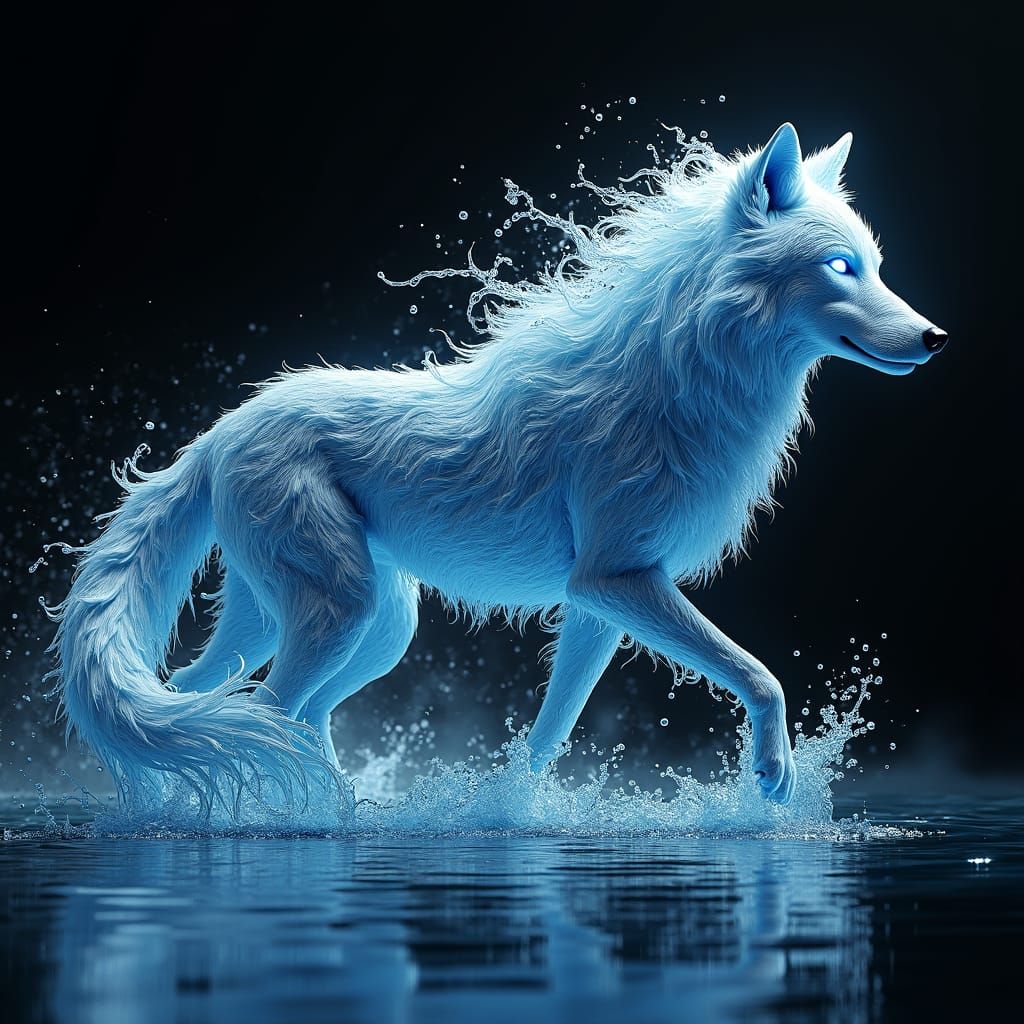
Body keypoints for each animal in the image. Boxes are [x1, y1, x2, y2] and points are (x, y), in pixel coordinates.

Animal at [49, 123, 947, 811]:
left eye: (875, 265)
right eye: (840, 267)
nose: (935, 337)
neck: (678, 378)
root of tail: (223, 428)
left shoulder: (600, 601)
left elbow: (549, 736)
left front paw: (509, 811)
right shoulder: (617, 581)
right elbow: (762, 676)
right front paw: (771, 772)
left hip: (363, 624)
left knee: (230, 699)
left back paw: (312, 808)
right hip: (341, 611)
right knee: (265, 708)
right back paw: (281, 818)